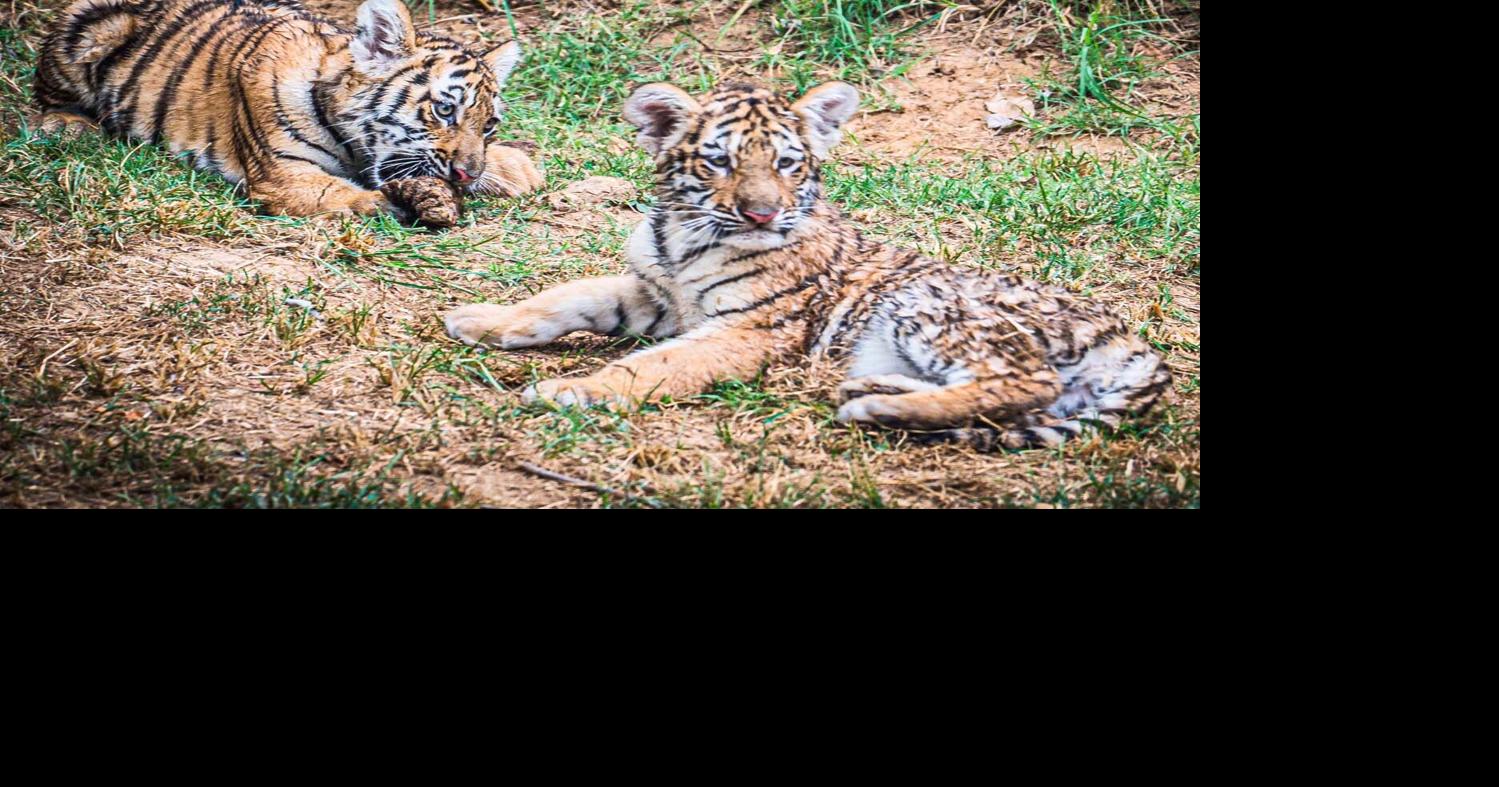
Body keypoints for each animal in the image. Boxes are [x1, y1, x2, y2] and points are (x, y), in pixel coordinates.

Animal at [32, 0, 545, 220]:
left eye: (490, 125)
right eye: (443, 109)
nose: (465, 175)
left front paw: (516, 167)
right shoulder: (285, 176)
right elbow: (344, 195)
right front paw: (396, 203)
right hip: (90, 25)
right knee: (46, 97)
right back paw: (68, 126)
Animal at [443, 81, 1171, 449]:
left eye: (788, 163)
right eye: (719, 161)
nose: (763, 214)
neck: (684, 235)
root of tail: (1137, 348)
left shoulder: (748, 331)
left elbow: (656, 366)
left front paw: (573, 392)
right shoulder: (655, 295)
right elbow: (567, 296)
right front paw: (479, 320)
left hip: (934, 308)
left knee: (1023, 380)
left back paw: (871, 407)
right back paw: (873, 397)